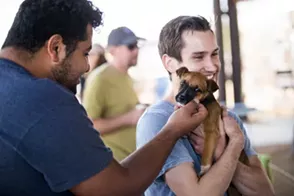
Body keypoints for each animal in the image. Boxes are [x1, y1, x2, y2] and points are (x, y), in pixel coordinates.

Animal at [175, 66, 248, 195]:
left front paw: (204, 169)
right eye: (182, 83)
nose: (180, 97)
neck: (203, 102)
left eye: (197, 89)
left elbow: (206, 152)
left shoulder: (211, 131)